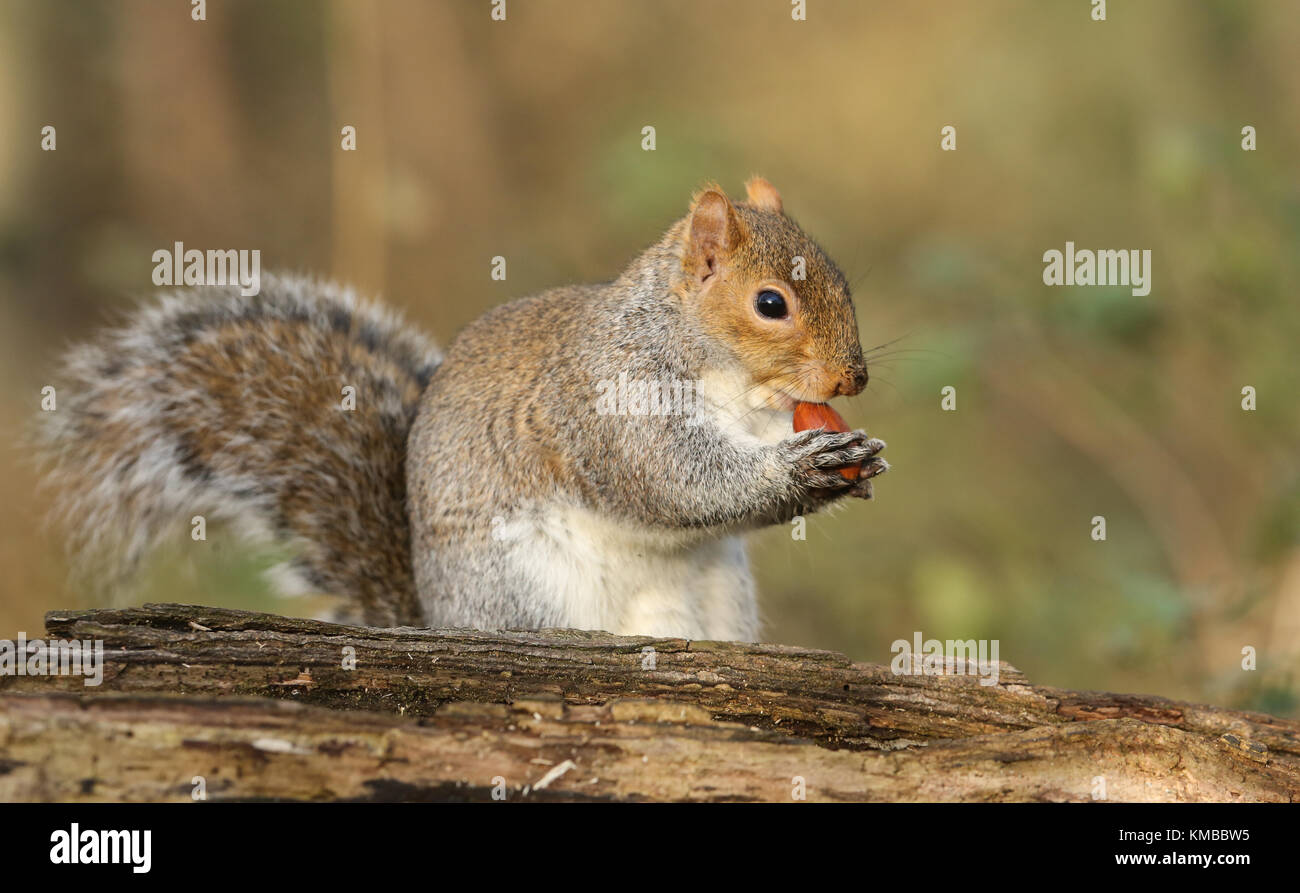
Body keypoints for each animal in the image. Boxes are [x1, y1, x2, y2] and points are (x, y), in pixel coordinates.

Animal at [38, 178, 883, 639]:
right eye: (769, 303)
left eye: (841, 274)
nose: (854, 378)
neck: (736, 386)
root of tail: (437, 616)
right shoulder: (610, 399)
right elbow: (671, 481)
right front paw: (803, 469)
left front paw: (857, 459)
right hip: (527, 585)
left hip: (720, 595)